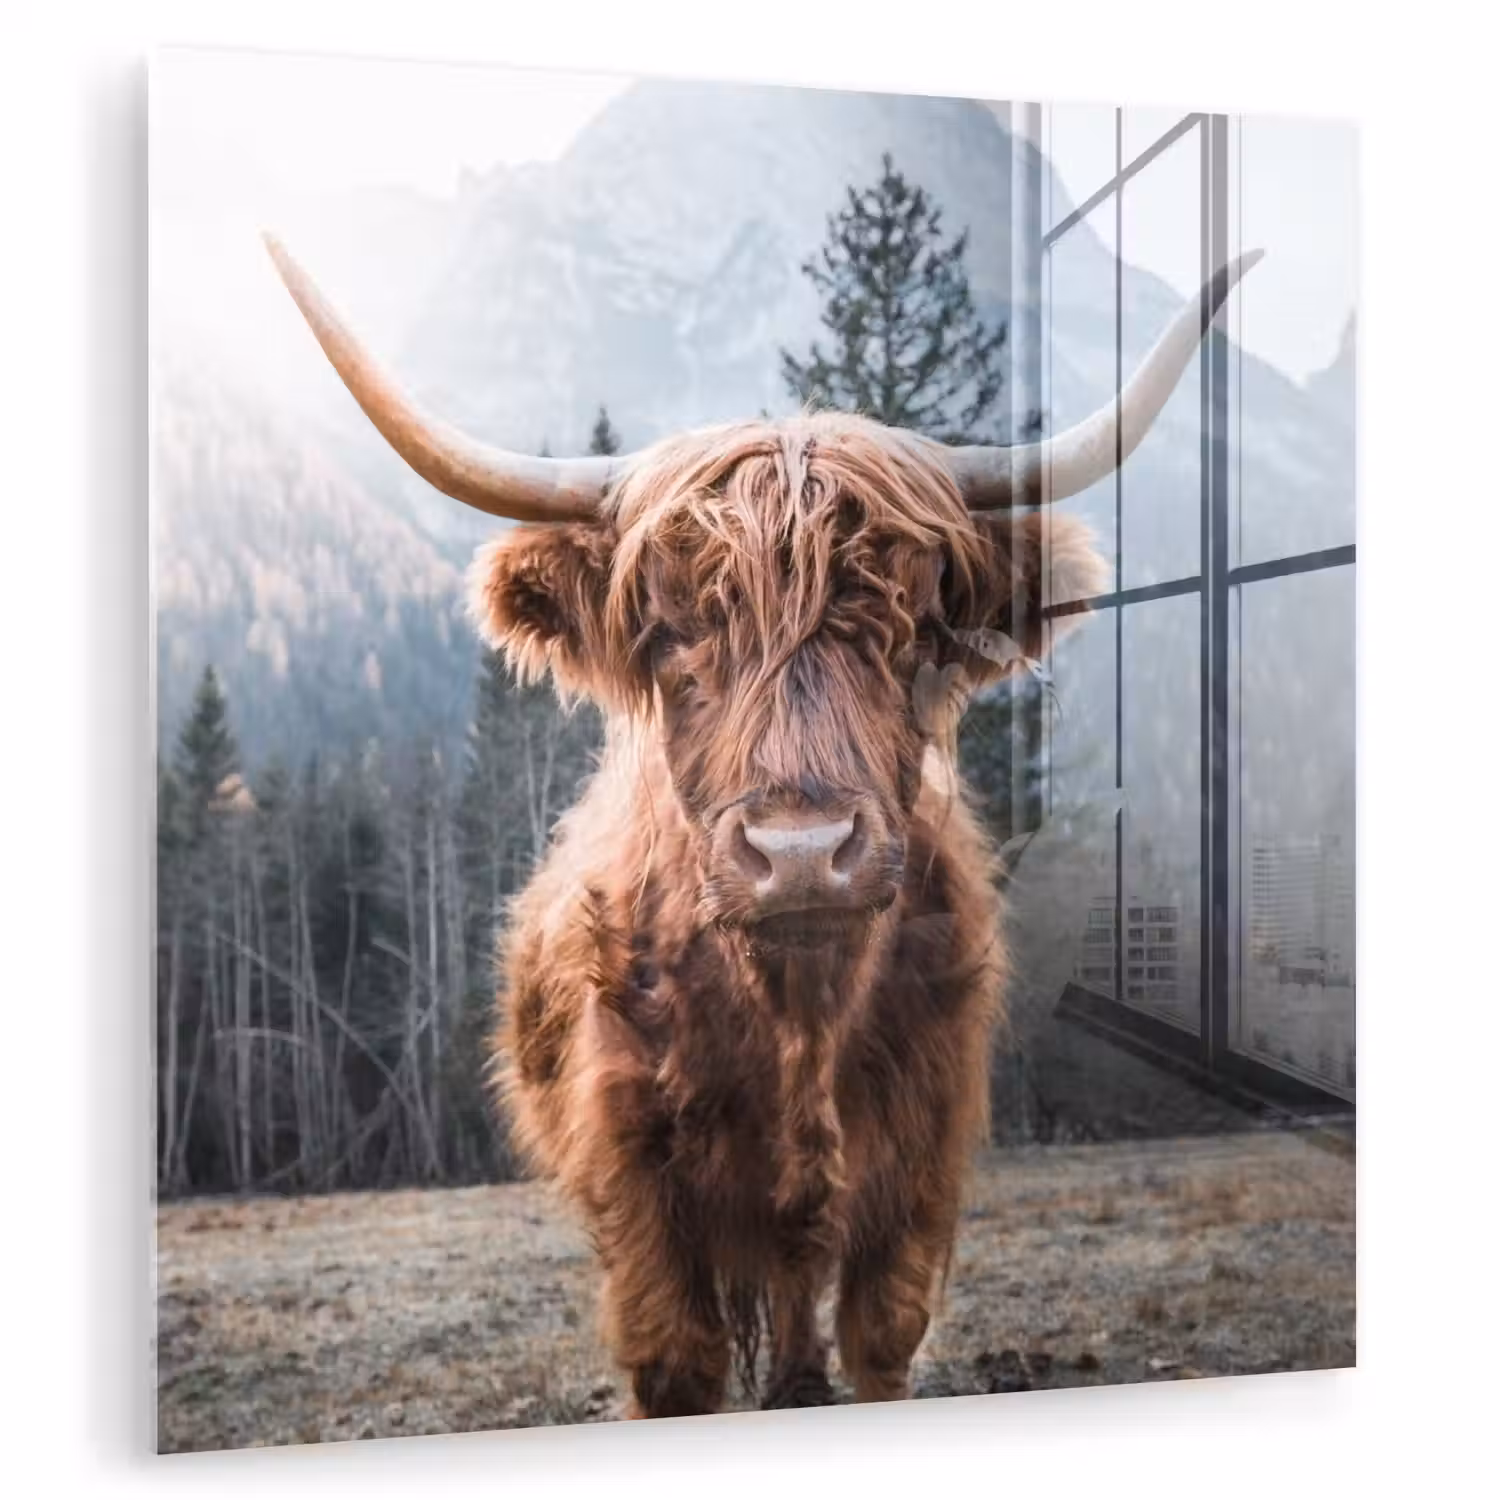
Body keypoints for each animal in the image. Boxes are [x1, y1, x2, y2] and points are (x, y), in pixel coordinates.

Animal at [266, 235, 1259, 1419]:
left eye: (911, 627)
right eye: (669, 633)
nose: (801, 855)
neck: (797, 1015)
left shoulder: (919, 1164)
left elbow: (881, 1338)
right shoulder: (636, 1180)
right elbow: (677, 1363)